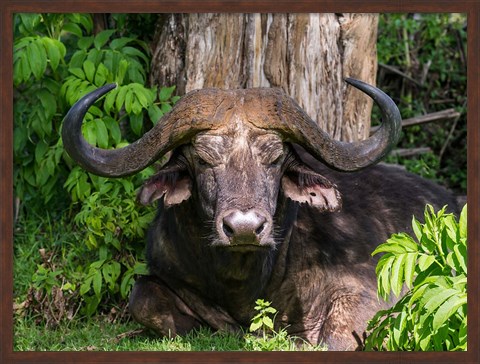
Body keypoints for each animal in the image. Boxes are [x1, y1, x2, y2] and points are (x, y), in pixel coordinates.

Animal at [62, 79, 460, 350]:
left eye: (274, 158)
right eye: (203, 160)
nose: (243, 228)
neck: (245, 280)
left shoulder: (367, 291)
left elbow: (335, 335)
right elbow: (141, 297)